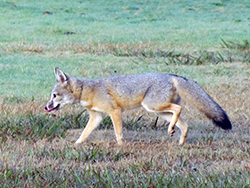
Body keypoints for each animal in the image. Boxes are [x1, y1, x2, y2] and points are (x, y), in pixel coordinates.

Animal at [44, 67, 231, 145]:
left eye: (54, 96)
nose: (46, 107)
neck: (87, 90)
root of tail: (171, 75)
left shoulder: (114, 112)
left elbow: (118, 132)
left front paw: (120, 146)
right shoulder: (96, 116)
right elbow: (84, 133)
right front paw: (76, 144)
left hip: (153, 106)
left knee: (179, 109)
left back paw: (173, 132)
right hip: (160, 112)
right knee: (184, 125)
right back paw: (179, 140)